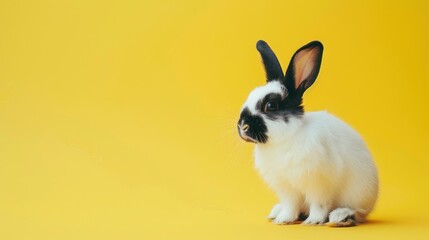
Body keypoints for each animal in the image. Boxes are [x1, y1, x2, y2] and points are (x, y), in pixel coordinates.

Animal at [237, 40, 378, 227]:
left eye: (271, 106)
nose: (242, 126)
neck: (286, 138)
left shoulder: (318, 185)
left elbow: (319, 204)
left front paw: (313, 221)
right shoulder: (287, 189)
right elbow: (290, 205)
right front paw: (284, 220)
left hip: (357, 194)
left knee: (358, 212)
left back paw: (340, 217)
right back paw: (276, 212)